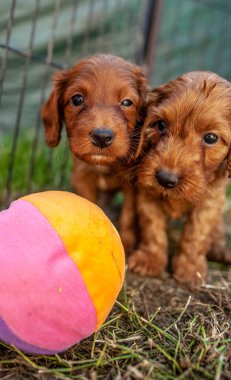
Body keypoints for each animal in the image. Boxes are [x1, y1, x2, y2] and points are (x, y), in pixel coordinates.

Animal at [40, 53, 147, 252]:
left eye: (127, 102)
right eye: (77, 99)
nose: (102, 137)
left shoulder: (131, 183)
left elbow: (128, 213)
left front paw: (127, 243)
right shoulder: (81, 178)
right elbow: (89, 205)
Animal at [128, 71, 231, 284]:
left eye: (211, 138)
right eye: (161, 124)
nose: (165, 178)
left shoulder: (210, 202)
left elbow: (196, 234)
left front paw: (189, 270)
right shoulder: (146, 194)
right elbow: (152, 228)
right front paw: (149, 260)